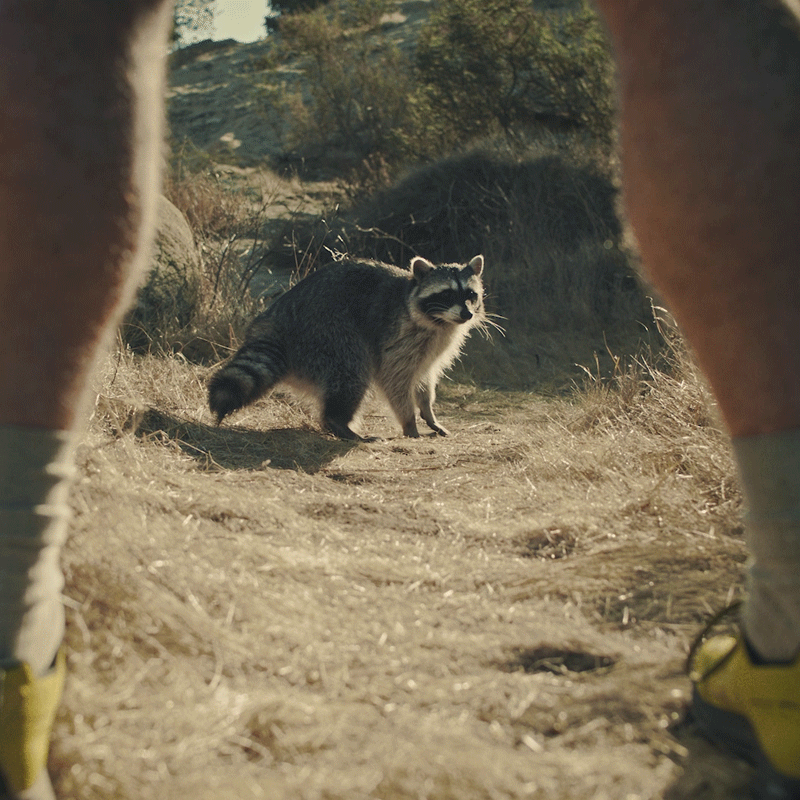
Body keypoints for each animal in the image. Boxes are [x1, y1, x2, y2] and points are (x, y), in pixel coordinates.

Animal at [208, 254, 486, 440]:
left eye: (470, 295)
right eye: (446, 294)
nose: (467, 314)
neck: (440, 322)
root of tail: (275, 320)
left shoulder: (432, 346)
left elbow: (424, 378)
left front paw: (428, 411)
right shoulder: (398, 335)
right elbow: (394, 379)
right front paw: (409, 423)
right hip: (327, 330)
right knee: (351, 371)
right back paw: (340, 422)